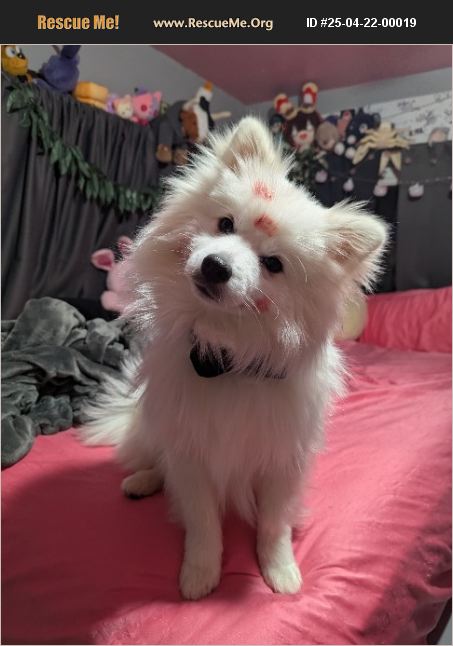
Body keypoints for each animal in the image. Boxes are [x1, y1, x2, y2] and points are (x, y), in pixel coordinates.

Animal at [82, 116, 387, 600]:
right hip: (153, 427)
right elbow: (203, 524)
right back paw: (144, 479)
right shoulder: (190, 451)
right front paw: (200, 573)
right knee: (155, 457)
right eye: (225, 224)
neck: (227, 355)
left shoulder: (282, 459)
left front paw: (279, 570)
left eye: (273, 265)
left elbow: (274, 526)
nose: (216, 265)